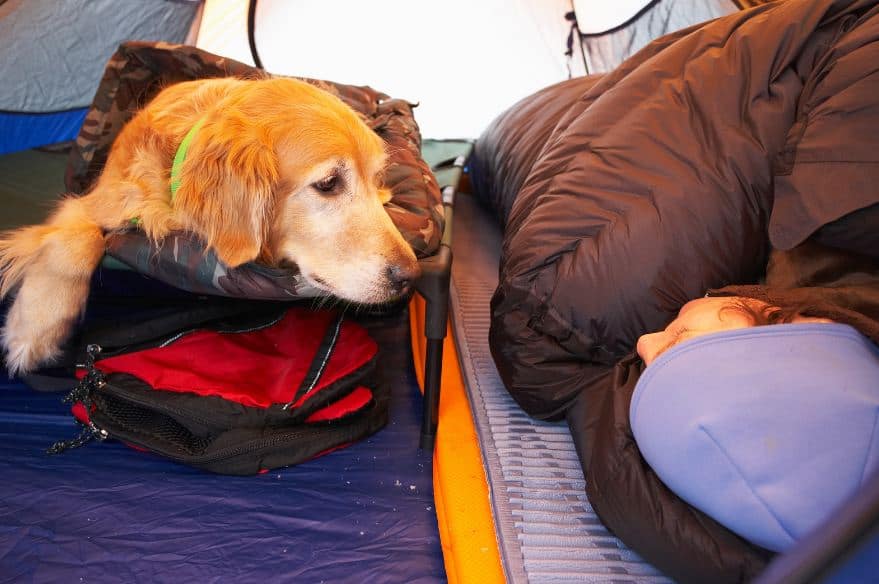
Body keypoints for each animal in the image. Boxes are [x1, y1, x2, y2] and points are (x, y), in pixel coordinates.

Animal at [0, 76, 422, 374]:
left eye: (375, 179)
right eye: (329, 183)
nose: (410, 275)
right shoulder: (98, 199)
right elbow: (77, 241)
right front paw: (33, 331)